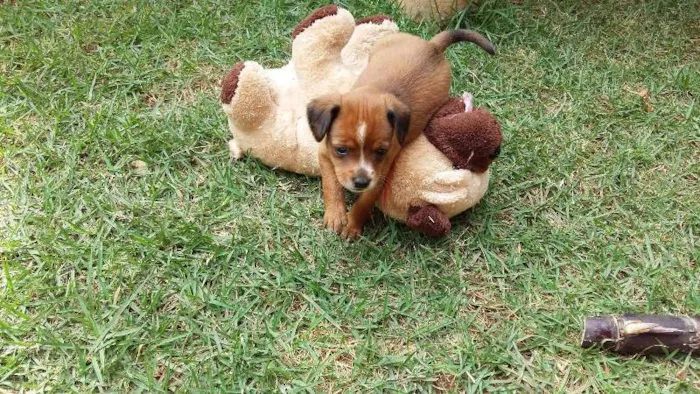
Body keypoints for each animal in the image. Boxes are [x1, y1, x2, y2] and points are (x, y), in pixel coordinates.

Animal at [306, 29, 492, 239]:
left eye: (381, 151)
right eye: (341, 150)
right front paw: (335, 215)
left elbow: (365, 201)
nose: (361, 182)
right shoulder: (324, 153)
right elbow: (331, 184)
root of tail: (432, 47)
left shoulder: (380, 173)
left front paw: (352, 224)